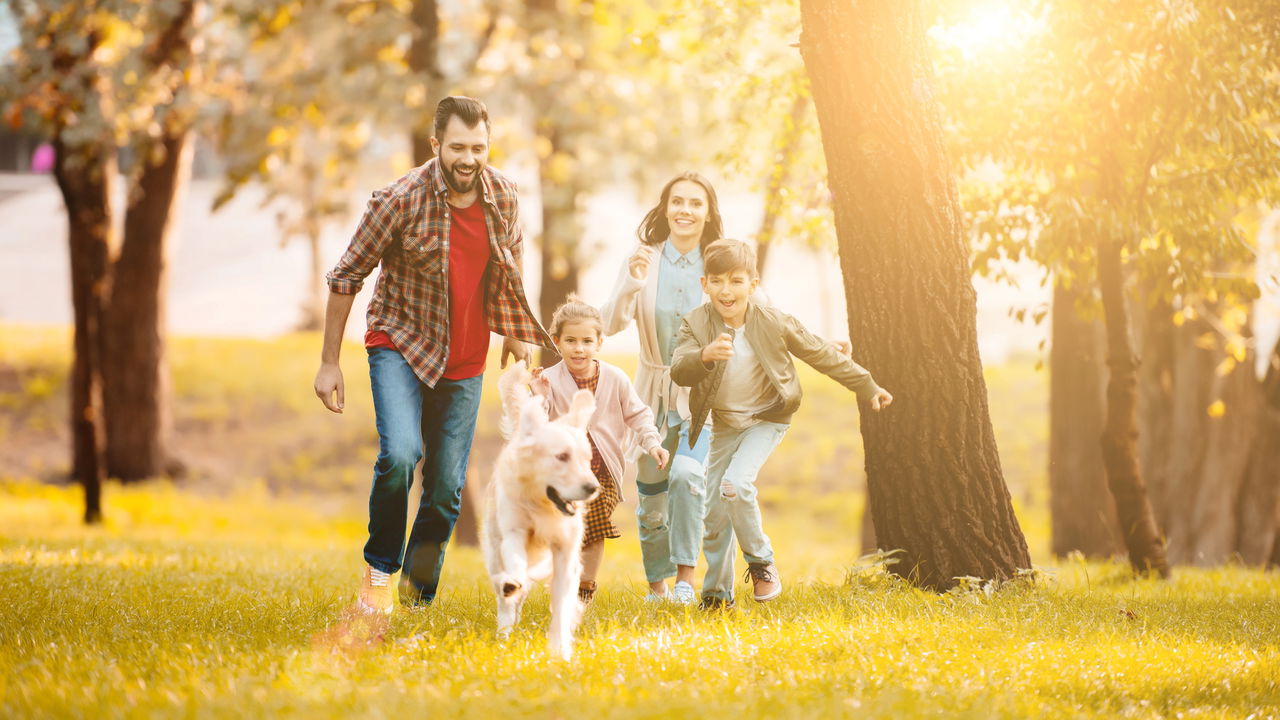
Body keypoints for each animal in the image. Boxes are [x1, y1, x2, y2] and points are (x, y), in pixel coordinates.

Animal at [481, 361, 601, 661]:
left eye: (587, 459)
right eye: (561, 456)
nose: (593, 488)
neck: (541, 505)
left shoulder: (565, 550)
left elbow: (562, 605)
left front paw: (560, 651)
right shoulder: (514, 532)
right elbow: (514, 568)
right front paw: (512, 586)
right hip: (493, 546)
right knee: (504, 590)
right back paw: (505, 629)